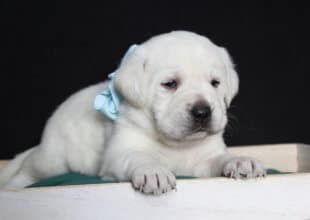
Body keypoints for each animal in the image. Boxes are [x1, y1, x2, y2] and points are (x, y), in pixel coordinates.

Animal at [0, 31, 266, 194]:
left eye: (215, 83)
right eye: (170, 84)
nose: (202, 112)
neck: (176, 145)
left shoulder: (204, 160)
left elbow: (220, 159)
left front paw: (240, 161)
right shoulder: (119, 154)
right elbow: (137, 157)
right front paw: (153, 172)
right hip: (53, 160)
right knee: (29, 168)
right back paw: (14, 184)